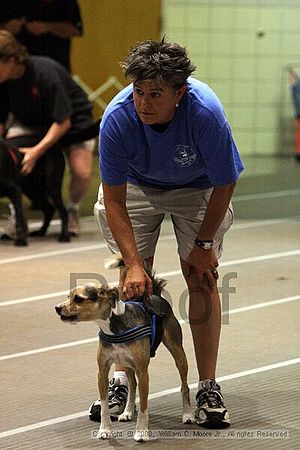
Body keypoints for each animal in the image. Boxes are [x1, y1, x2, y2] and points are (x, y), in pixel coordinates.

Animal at [55, 255, 193, 442]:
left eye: (78, 298)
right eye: (68, 296)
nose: (57, 308)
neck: (114, 325)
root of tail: (155, 296)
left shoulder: (143, 372)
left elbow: (144, 407)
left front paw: (141, 432)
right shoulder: (102, 371)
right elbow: (105, 406)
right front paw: (105, 430)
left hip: (178, 353)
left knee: (184, 385)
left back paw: (188, 415)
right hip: (126, 363)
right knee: (132, 385)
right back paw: (127, 412)